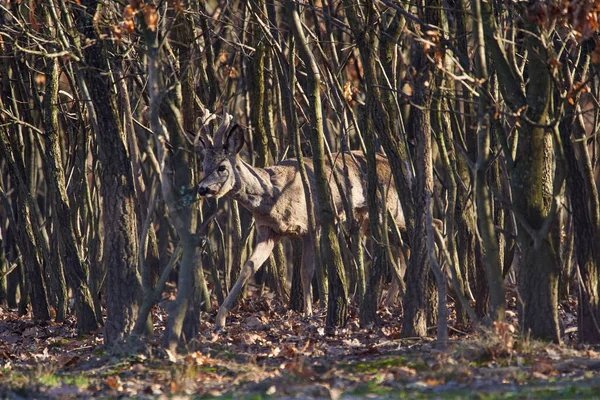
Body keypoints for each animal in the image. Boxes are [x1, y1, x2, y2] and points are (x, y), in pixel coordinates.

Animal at [198, 115, 408, 328]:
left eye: (222, 167)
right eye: (203, 166)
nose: (202, 189)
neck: (273, 194)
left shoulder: (310, 225)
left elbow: (305, 271)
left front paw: (308, 313)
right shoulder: (268, 232)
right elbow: (248, 268)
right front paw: (220, 319)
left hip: (389, 211)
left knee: (409, 238)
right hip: (366, 220)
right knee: (402, 249)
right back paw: (388, 302)